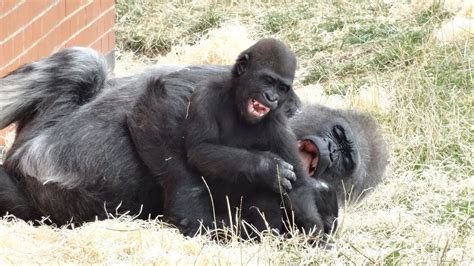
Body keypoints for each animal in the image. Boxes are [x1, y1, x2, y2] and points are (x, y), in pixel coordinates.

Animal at [0, 45, 386, 237]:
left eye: (346, 163)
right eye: (339, 136)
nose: (333, 153)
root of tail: (17, 161)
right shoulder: (222, 82)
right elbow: (164, 99)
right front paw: (189, 207)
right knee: (86, 62)